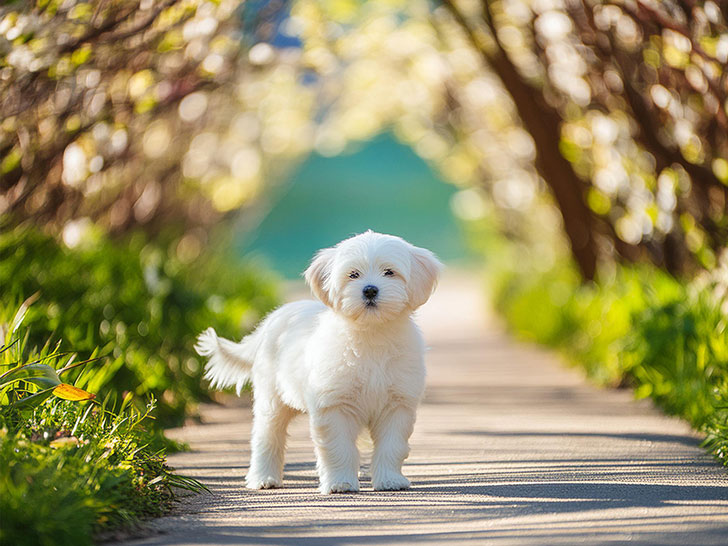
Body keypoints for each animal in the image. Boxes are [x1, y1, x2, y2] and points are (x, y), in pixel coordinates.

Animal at [196, 230, 440, 492]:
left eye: (389, 272)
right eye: (353, 274)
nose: (370, 290)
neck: (371, 335)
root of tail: (271, 321)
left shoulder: (397, 406)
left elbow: (392, 447)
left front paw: (390, 480)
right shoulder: (334, 406)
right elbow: (339, 449)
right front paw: (340, 482)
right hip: (271, 401)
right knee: (267, 437)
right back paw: (263, 478)